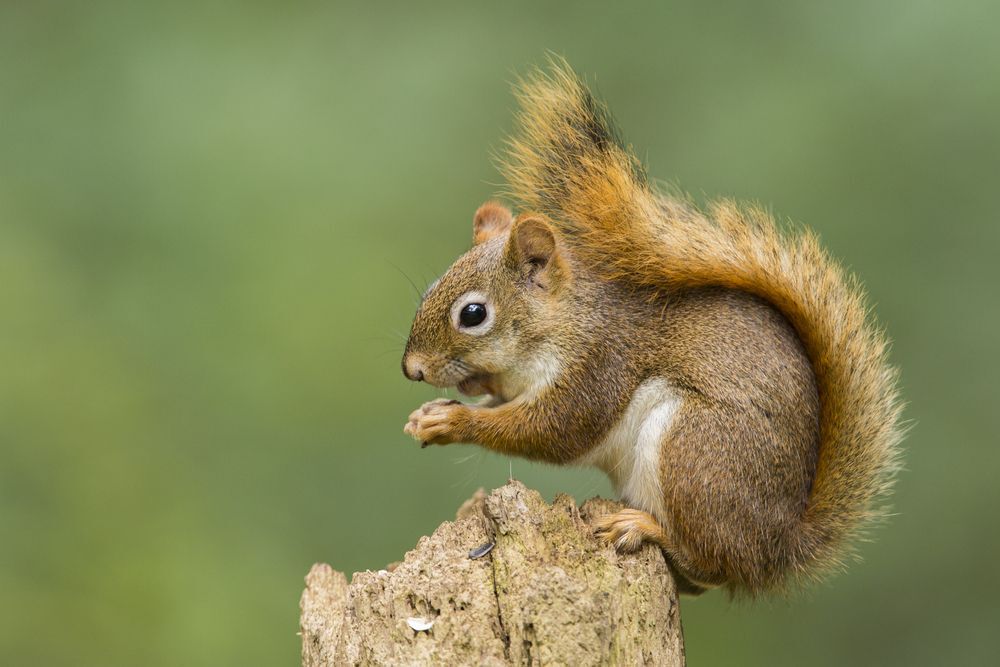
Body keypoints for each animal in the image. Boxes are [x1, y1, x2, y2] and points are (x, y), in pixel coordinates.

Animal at [401, 61, 903, 596]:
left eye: (473, 314)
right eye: (431, 286)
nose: (412, 369)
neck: (562, 323)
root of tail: (777, 550)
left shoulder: (599, 364)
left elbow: (552, 430)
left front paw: (452, 422)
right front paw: (432, 412)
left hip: (695, 452)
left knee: (711, 563)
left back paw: (644, 528)